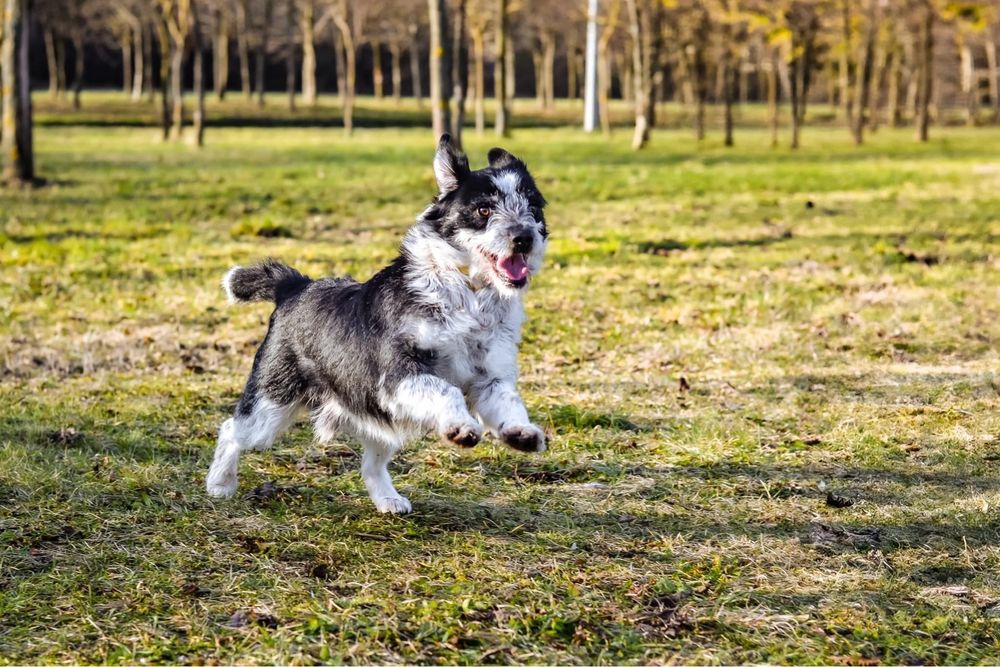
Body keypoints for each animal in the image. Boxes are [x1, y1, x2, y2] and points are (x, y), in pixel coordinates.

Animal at [204, 133, 548, 516]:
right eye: (484, 210)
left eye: (533, 208)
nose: (524, 237)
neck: (468, 295)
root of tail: (294, 286)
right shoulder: (398, 372)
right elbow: (446, 390)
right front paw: (460, 426)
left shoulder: (488, 377)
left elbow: (508, 400)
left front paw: (521, 432)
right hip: (271, 403)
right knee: (232, 430)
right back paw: (220, 484)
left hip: (380, 417)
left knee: (371, 463)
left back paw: (388, 499)